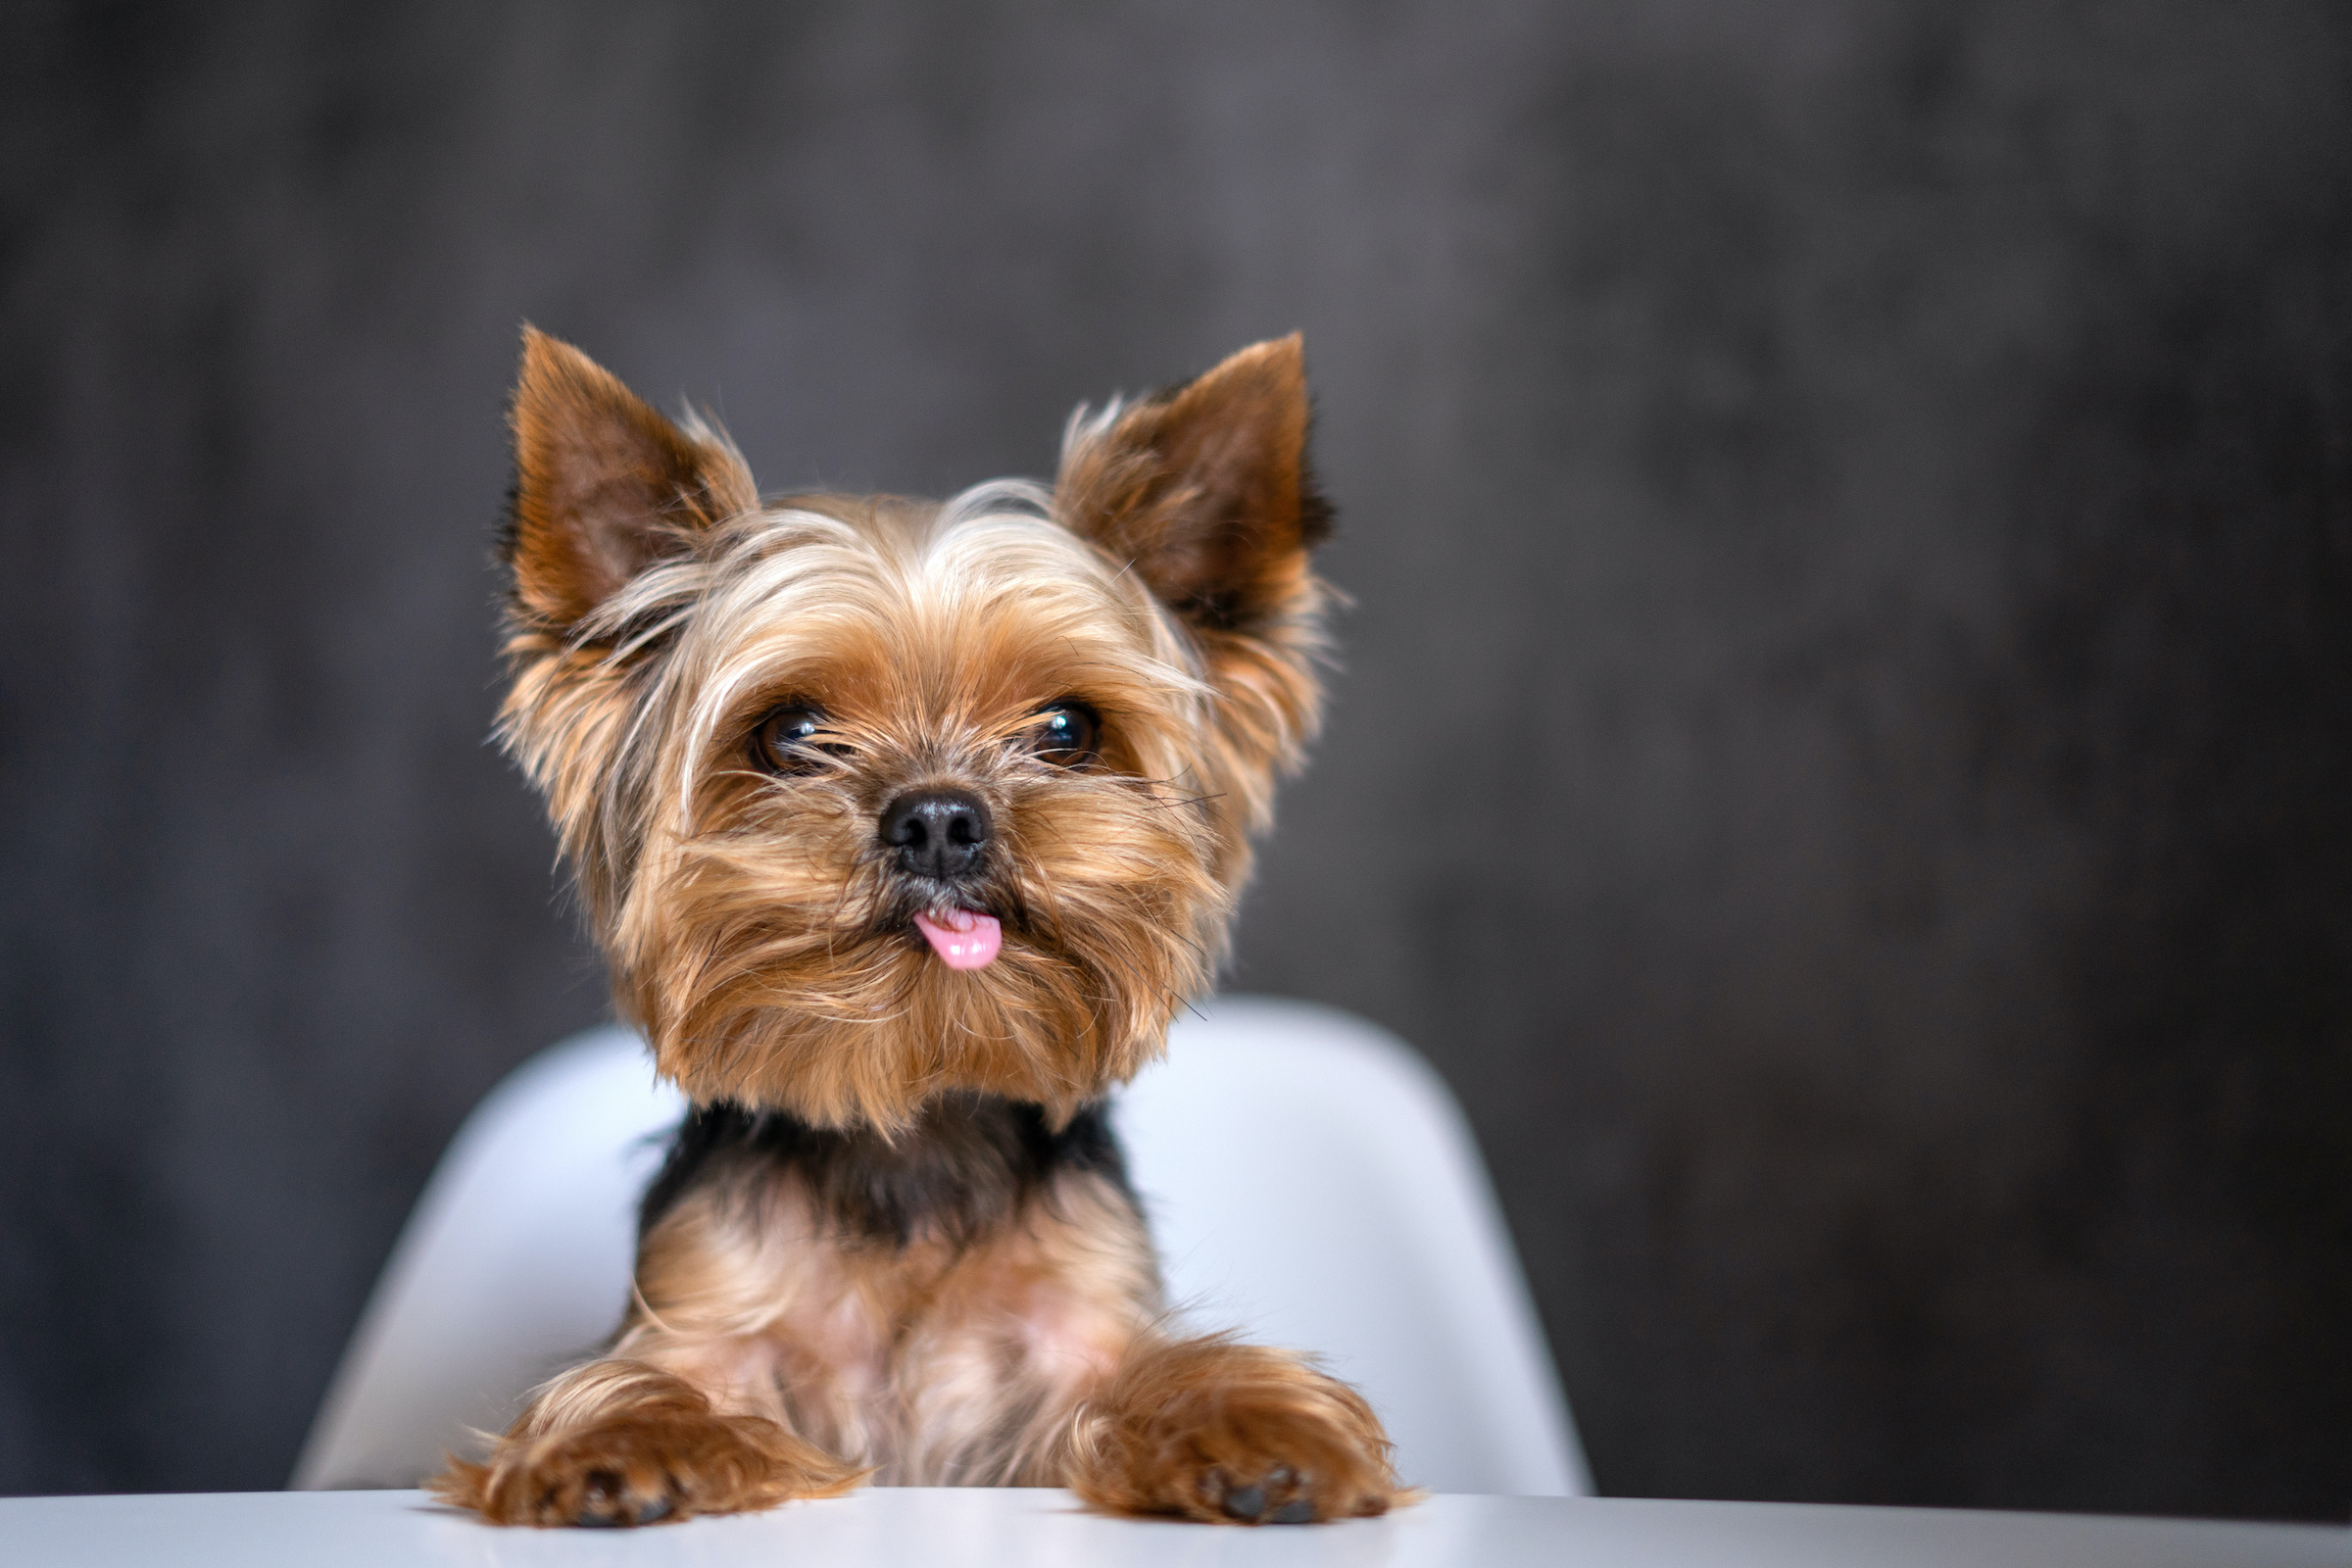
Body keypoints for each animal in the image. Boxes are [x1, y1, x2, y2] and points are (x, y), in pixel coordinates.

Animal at [427, 324, 1392, 1523]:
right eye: (792, 732)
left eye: (1067, 729)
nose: (938, 819)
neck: (913, 1132)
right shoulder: (708, 1309)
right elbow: (644, 1383)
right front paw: (614, 1446)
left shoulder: (1075, 1328)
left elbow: (1157, 1373)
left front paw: (1259, 1431)